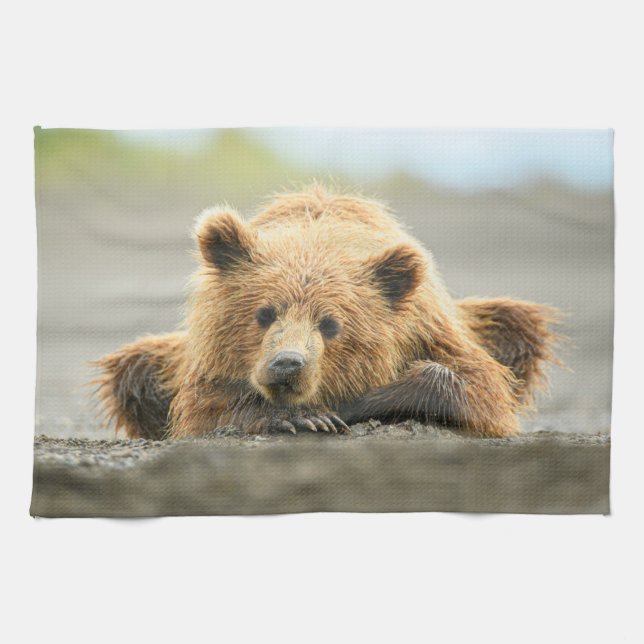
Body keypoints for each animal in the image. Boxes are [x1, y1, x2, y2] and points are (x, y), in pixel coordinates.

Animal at [93, 185, 559, 440]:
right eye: (264, 313)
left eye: (331, 324)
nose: (287, 363)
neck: (317, 238)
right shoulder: (205, 360)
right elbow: (201, 409)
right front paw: (305, 418)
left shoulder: (430, 328)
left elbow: (481, 389)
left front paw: (359, 402)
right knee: (134, 370)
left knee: (519, 325)